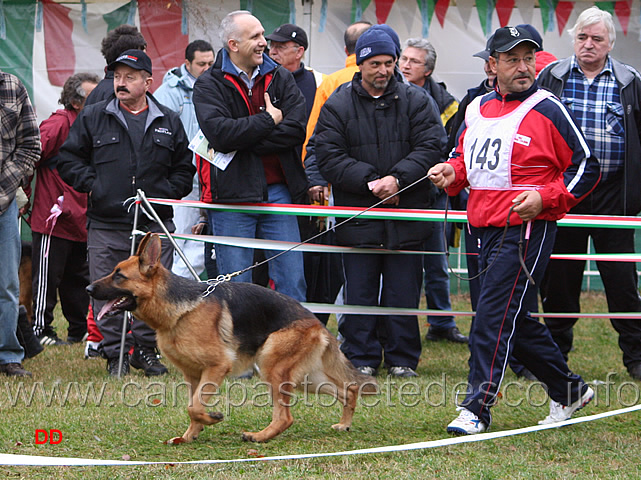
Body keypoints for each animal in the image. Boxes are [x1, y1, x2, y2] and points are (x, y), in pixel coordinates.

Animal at [85, 232, 376, 442]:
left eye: (119, 275)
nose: (87, 288)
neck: (179, 310)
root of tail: (317, 322)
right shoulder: (193, 375)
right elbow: (192, 406)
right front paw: (190, 435)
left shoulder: (217, 367)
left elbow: (194, 407)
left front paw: (211, 419)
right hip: (305, 378)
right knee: (349, 390)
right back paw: (344, 425)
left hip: (273, 367)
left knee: (286, 417)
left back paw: (259, 437)